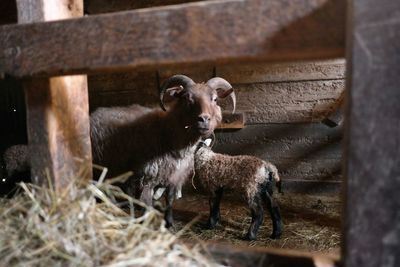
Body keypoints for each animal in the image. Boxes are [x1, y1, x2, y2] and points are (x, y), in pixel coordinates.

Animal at [90, 75, 234, 228]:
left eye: (215, 99)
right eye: (186, 98)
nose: (204, 119)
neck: (168, 133)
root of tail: (94, 114)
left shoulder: (173, 176)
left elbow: (169, 200)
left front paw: (169, 222)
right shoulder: (147, 177)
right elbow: (147, 205)